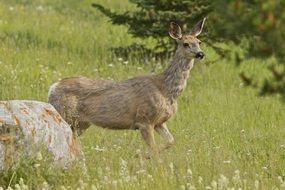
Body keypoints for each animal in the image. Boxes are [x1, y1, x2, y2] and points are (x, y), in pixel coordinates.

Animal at [48, 18, 204, 157]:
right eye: (185, 44)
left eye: (199, 42)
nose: (200, 54)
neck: (166, 90)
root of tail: (53, 87)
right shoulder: (144, 119)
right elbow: (154, 151)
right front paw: (144, 157)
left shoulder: (159, 122)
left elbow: (171, 141)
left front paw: (142, 155)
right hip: (64, 113)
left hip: (81, 123)